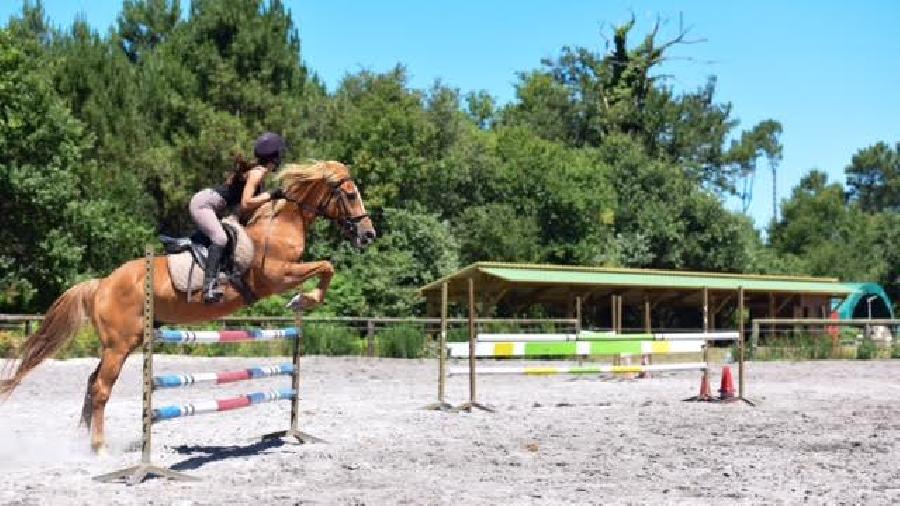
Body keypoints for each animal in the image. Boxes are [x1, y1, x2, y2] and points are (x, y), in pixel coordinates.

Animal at [0, 159, 372, 450]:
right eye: (351, 194)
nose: (369, 235)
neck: (280, 224)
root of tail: (102, 284)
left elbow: (326, 267)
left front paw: (304, 300)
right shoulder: (277, 276)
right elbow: (326, 266)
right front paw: (304, 299)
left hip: (126, 342)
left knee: (93, 382)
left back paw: (83, 440)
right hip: (119, 344)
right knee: (102, 387)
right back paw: (100, 447)